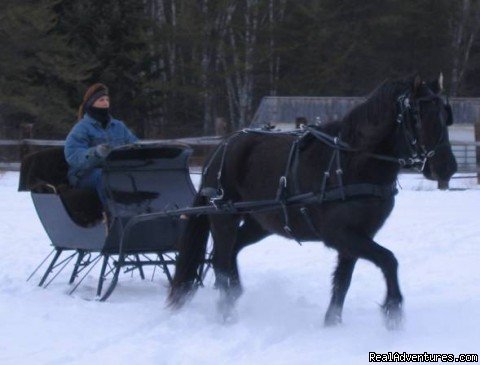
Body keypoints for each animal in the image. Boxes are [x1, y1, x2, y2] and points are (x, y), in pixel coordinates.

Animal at [169, 74, 458, 328]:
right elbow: (388, 260)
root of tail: (220, 148)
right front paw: (393, 310)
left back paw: (235, 293)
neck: (353, 162)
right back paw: (227, 313)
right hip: (224, 217)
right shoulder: (340, 234)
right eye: (419, 116)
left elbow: (343, 281)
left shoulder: (357, 236)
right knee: (220, 260)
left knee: (233, 251)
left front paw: (332, 324)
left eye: (446, 115)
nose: (447, 167)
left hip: (260, 222)